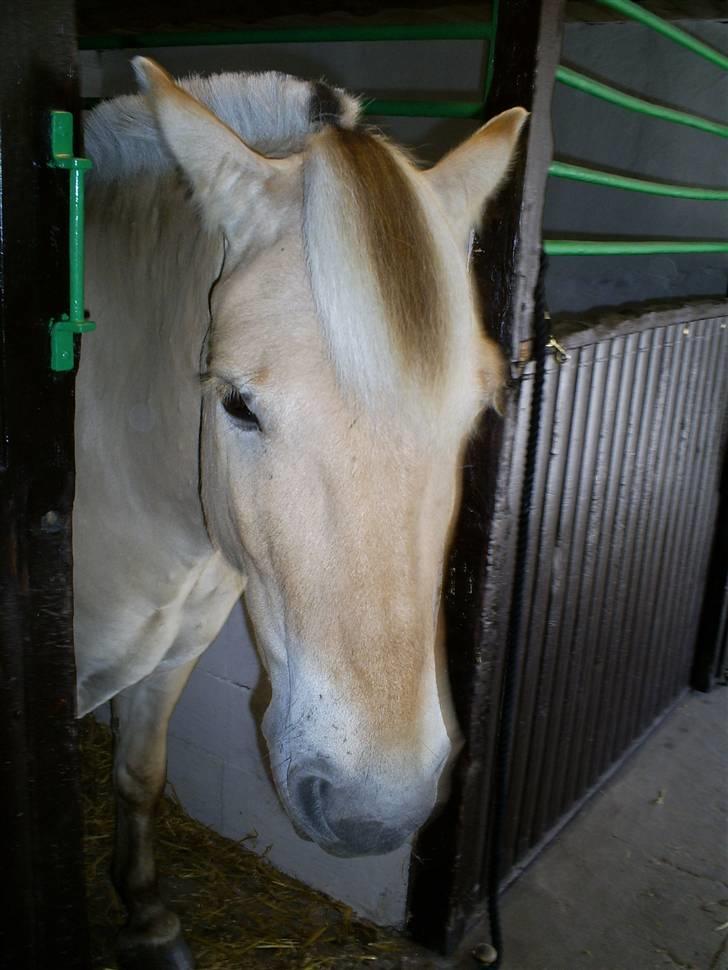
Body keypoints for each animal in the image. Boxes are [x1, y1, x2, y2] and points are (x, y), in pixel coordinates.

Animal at [75, 56, 524, 964]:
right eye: (237, 405)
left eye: (474, 414)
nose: (374, 812)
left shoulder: (169, 657)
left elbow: (139, 774)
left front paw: (148, 917)